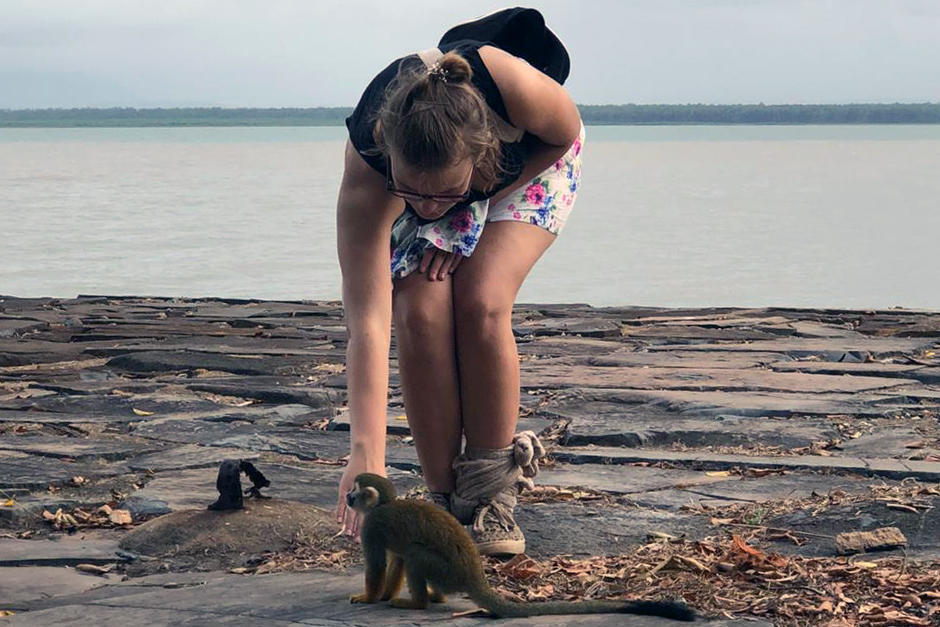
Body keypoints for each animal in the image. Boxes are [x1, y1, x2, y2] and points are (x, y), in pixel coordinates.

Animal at [346, 473, 695, 621]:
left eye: (353, 491)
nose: (347, 498)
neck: (383, 506)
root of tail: (474, 576)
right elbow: (395, 561)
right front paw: (384, 594)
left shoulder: (372, 526)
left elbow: (378, 564)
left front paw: (369, 597)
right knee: (411, 556)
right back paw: (434, 597)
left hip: (445, 569)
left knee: (418, 556)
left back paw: (418, 604)